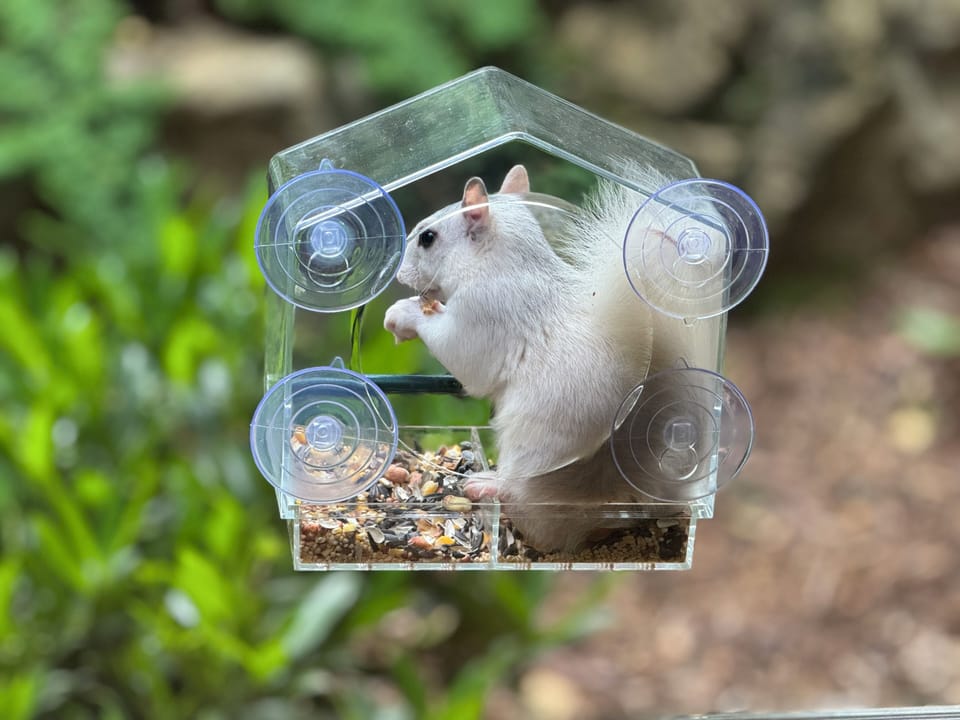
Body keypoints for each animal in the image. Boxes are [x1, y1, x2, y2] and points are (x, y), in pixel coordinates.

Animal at [384, 164, 717, 551]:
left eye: (428, 238)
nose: (398, 272)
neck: (498, 263)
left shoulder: (486, 314)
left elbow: (464, 356)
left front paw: (402, 314)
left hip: (534, 439)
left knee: (538, 515)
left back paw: (490, 486)